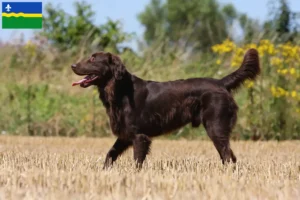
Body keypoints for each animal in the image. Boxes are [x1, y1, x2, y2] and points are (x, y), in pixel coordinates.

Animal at [71, 48, 260, 169]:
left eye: (93, 59)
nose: (72, 65)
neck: (120, 90)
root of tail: (220, 83)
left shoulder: (139, 136)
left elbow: (137, 161)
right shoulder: (125, 135)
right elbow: (110, 153)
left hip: (216, 127)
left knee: (227, 155)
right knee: (229, 156)